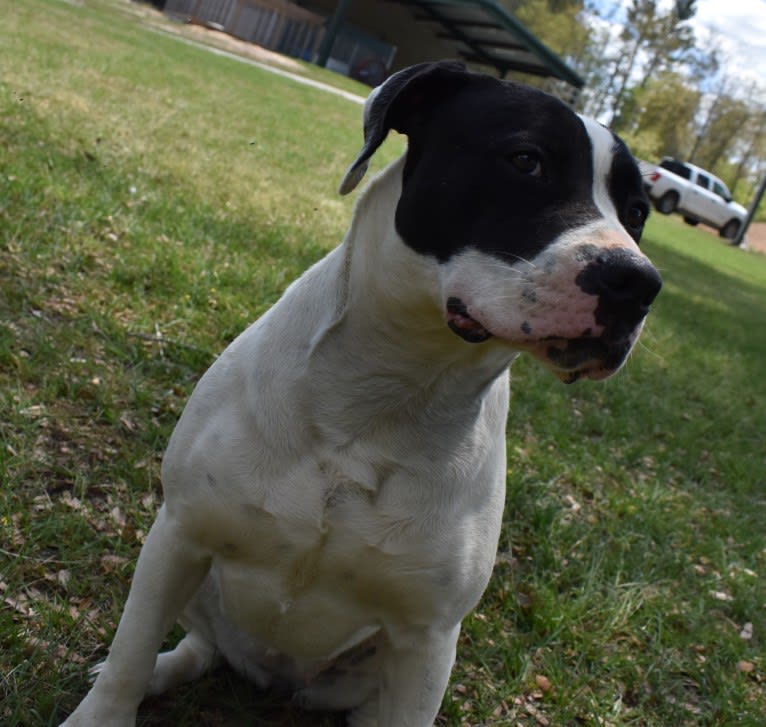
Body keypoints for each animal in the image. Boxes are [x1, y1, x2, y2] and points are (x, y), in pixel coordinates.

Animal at [61, 62, 660, 727]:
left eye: (637, 213)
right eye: (526, 160)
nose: (637, 282)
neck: (387, 390)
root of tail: (270, 676)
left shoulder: (425, 641)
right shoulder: (180, 535)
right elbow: (130, 652)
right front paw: (106, 706)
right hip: (201, 589)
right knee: (198, 646)